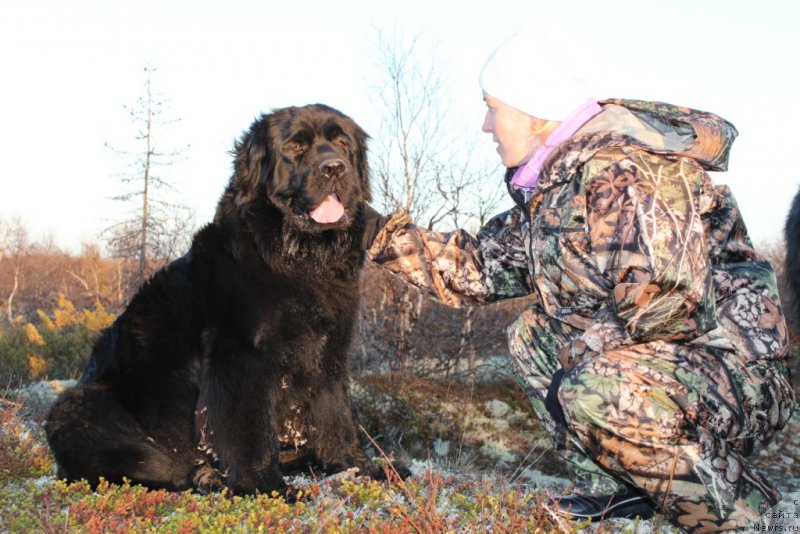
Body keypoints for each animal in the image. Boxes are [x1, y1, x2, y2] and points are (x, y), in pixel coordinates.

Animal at [43, 103, 400, 498]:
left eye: (341, 144)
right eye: (295, 148)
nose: (334, 167)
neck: (300, 259)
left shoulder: (329, 352)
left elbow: (336, 415)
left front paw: (361, 468)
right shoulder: (242, 356)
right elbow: (251, 429)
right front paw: (265, 486)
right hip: (80, 406)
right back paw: (202, 475)